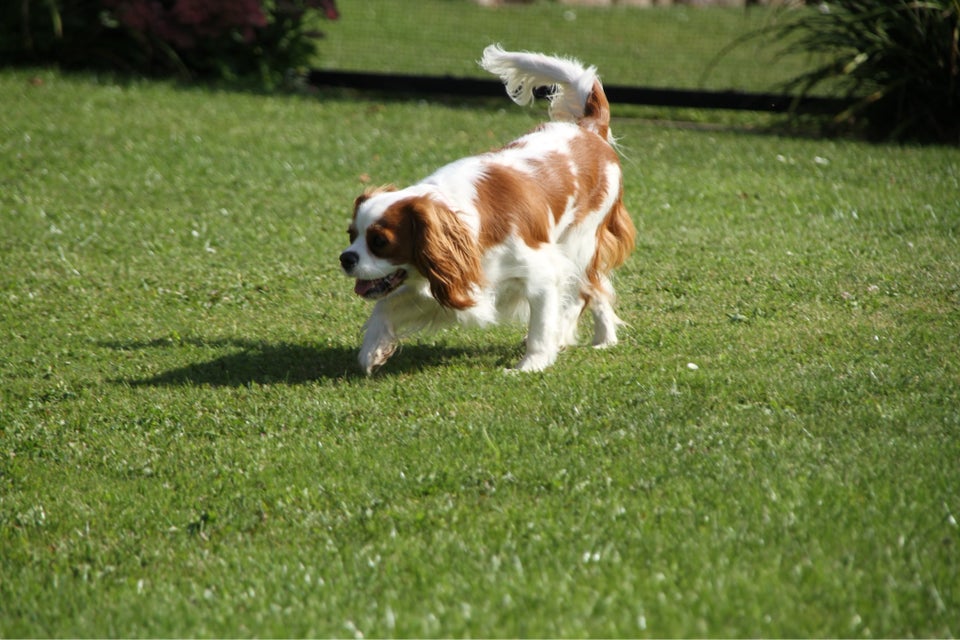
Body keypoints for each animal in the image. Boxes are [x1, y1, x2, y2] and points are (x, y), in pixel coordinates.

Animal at [342, 45, 632, 372]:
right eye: (351, 235)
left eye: (380, 242)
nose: (345, 258)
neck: (465, 221)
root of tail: (589, 129)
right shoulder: (457, 282)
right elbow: (386, 304)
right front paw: (373, 349)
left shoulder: (543, 271)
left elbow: (542, 326)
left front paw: (530, 365)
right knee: (598, 287)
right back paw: (605, 338)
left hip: (579, 243)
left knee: (582, 293)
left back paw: (576, 335)